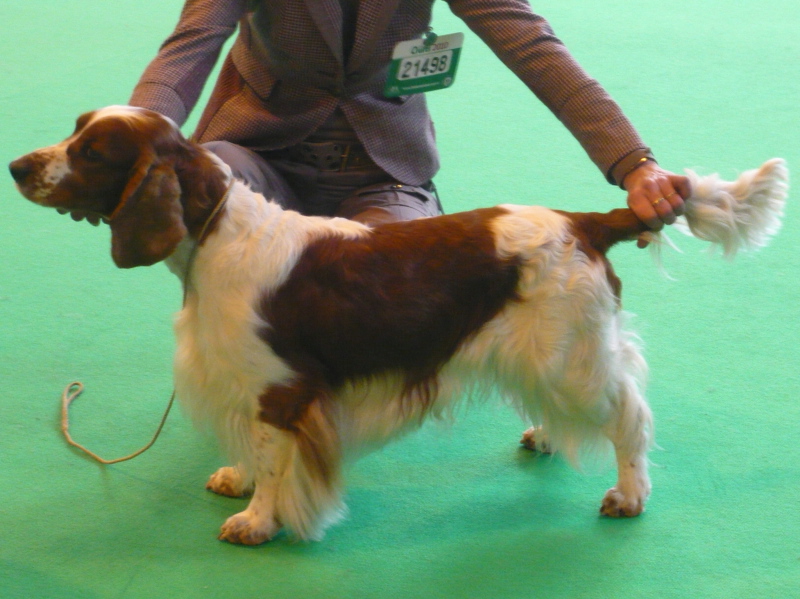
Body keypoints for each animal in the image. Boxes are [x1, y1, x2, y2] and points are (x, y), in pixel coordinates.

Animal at [10, 106, 788, 544]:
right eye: (73, 131)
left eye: (91, 151)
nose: (17, 164)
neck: (213, 237)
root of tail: (585, 221)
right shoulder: (245, 383)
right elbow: (252, 450)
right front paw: (236, 478)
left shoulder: (282, 391)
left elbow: (275, 462)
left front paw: (258, 522)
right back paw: (542, 434)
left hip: (573, 354)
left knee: (630, 416)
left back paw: (629, 494)